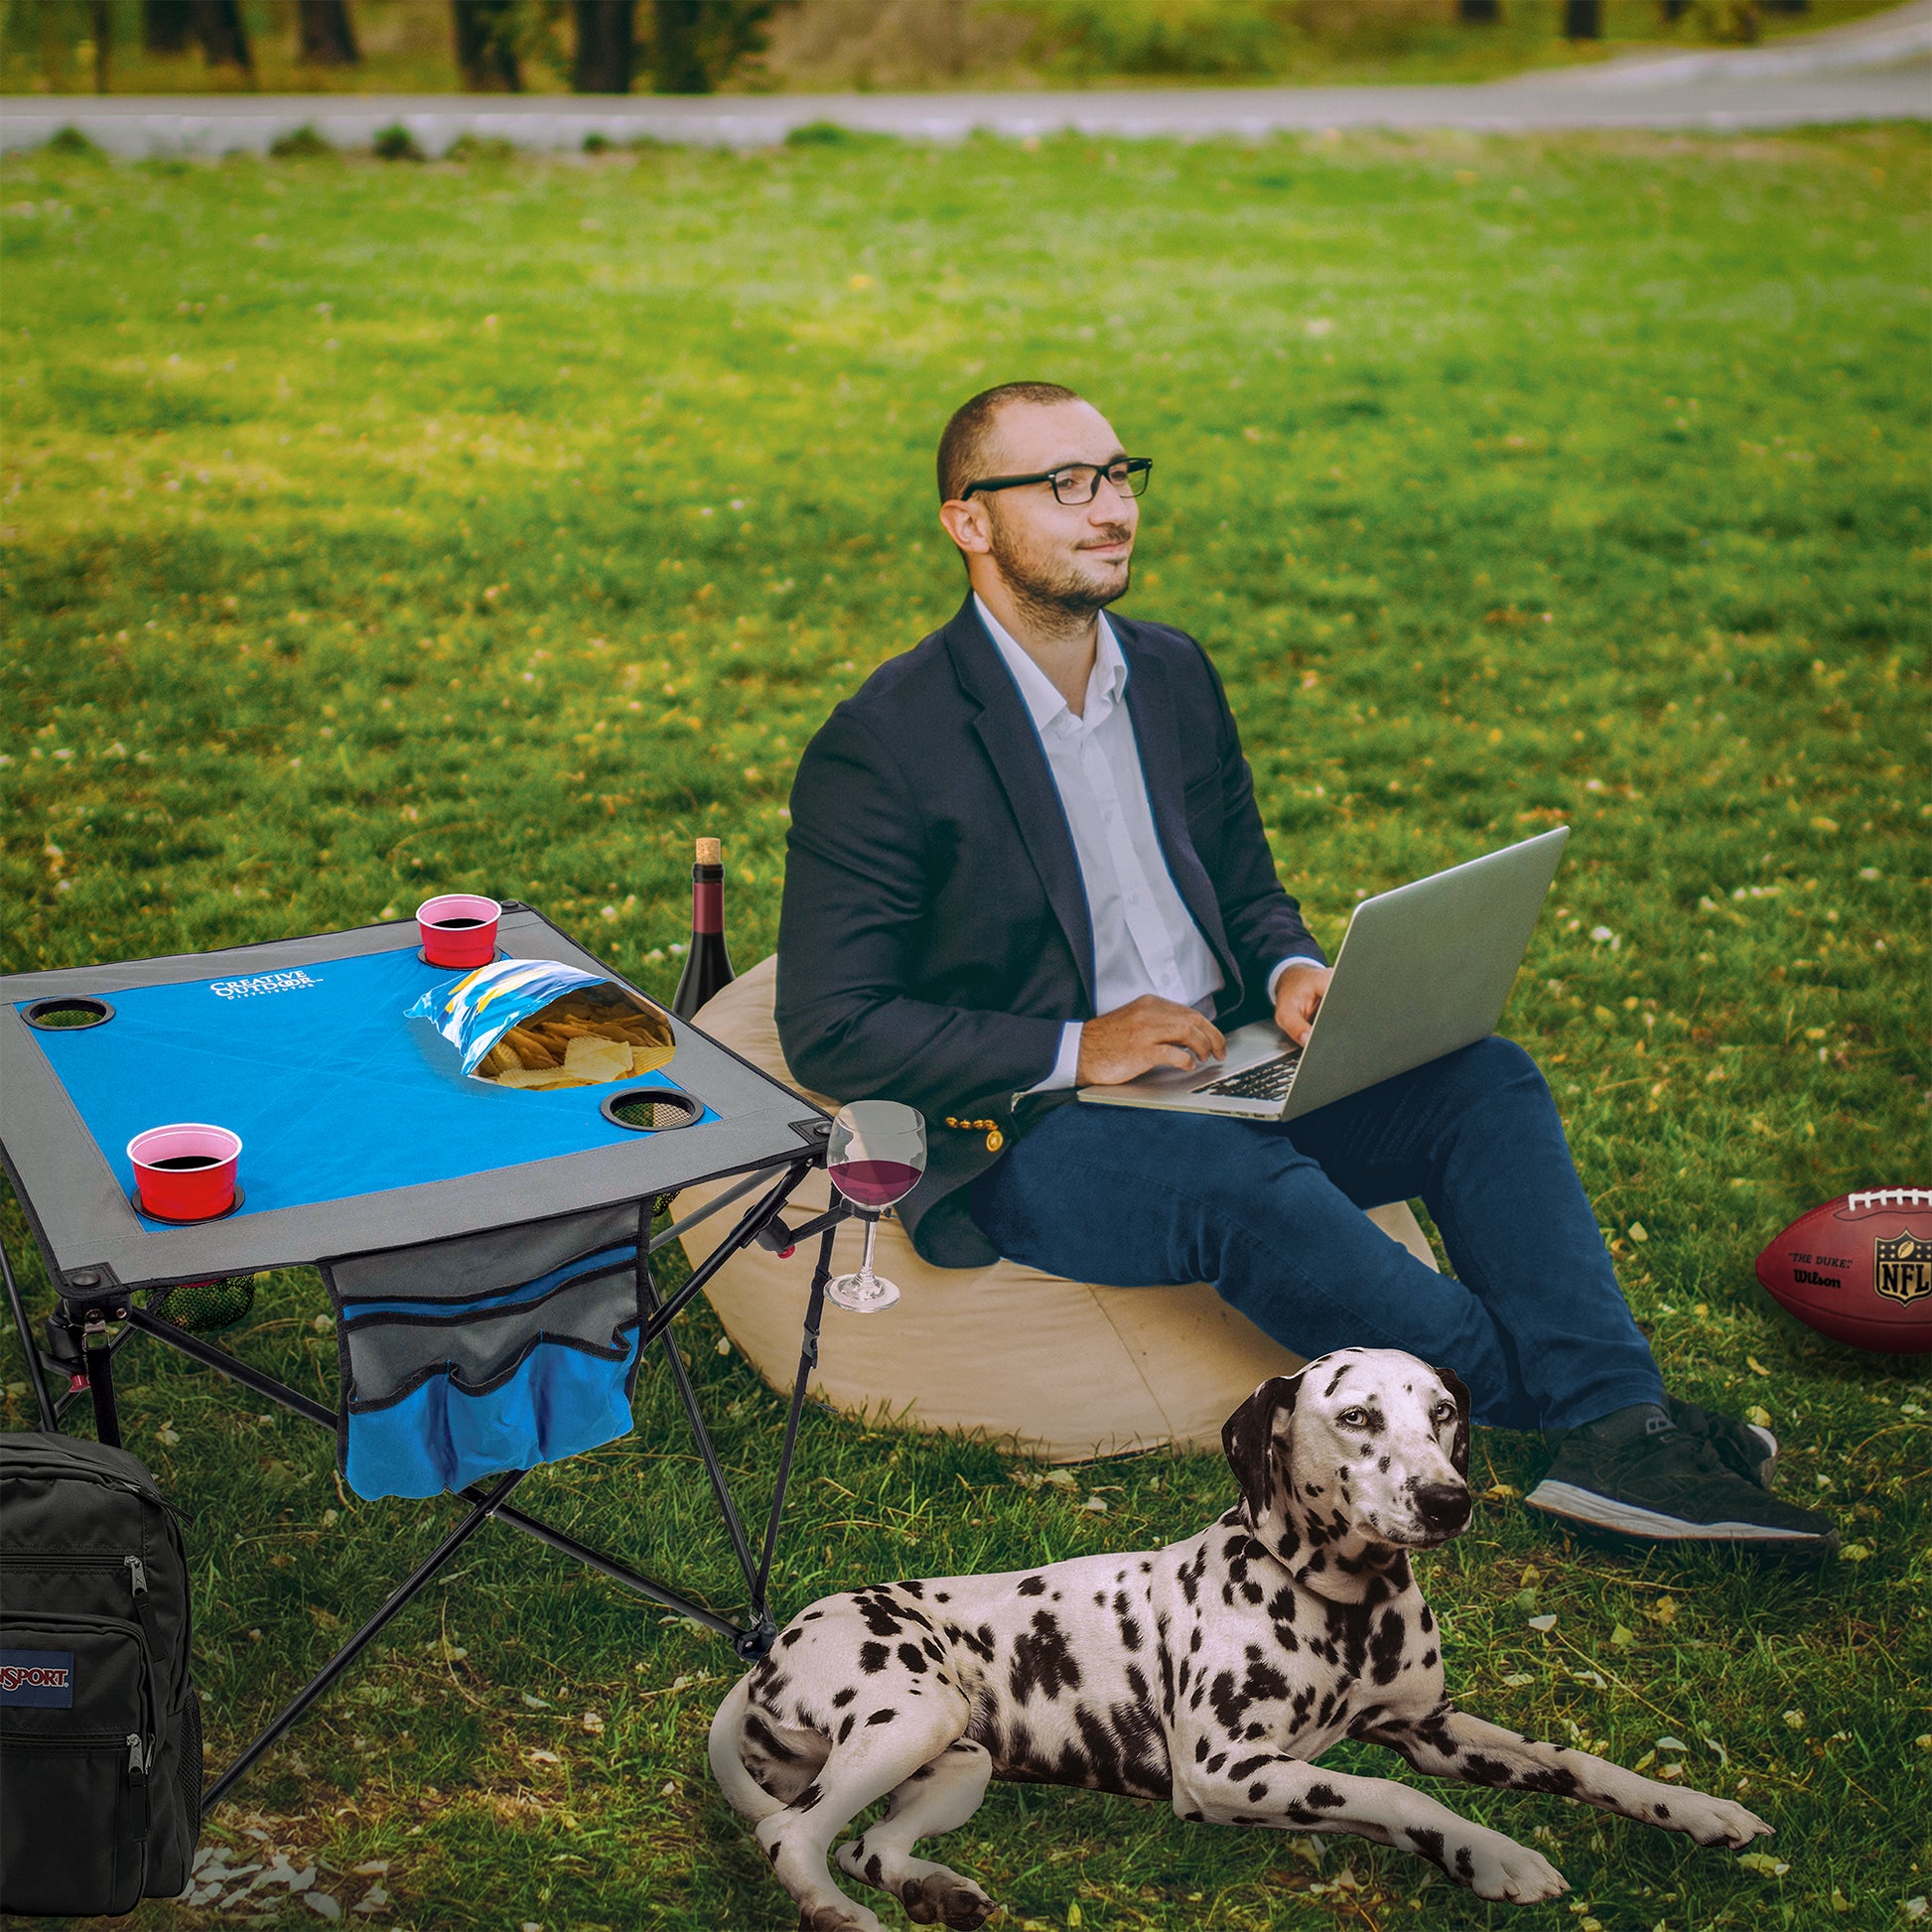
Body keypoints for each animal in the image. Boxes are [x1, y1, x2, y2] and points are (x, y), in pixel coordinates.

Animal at [711, 1352, 1769, 1924]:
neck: (1343, 1609)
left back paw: (931, 1890)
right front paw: (1488, 1855)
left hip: (956, 1762)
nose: (1448, 1499)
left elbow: (1579, 1762)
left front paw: (1700, 1809)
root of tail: (771, 1648)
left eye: (1443, 1413)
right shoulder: (1230, 1770)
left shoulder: (1436, 1730)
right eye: (1356, 1416)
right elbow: (1394, 1797)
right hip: (910, 1717)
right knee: (794, 1836)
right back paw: (835, 1913)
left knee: (865, 1846)